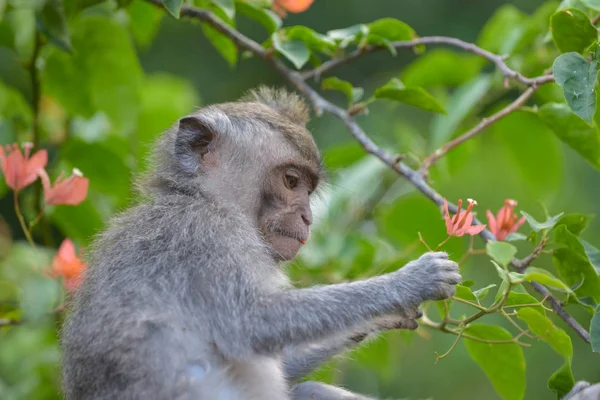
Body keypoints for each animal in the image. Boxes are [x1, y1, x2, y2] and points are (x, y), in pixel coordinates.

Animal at [61, 87, 460, 400]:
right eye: (291, 180)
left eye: (308, 190)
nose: (308, 218)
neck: (200, 197)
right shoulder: (206, 236)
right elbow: (254, 322)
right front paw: (410, 281)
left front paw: (391, 314)